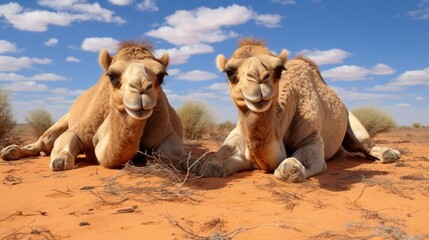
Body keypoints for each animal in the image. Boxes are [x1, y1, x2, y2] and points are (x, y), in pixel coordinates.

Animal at [1, 40, 192, 172]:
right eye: (112, 75)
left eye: (162, 75)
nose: (140, 89)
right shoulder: (81, 129)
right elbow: (62, 158)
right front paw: (60, 161)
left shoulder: (165, 133)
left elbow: (180, 155)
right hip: (61, 122)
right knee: (43, 142)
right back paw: (10, 151)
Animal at [199, 39, 400, 182]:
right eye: (229, 72)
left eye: (279, 69)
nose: (258, 80)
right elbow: (211, 165)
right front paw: (205, 165)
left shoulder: (312, 139)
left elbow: (289, 167)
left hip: (352, 122)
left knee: (364, 144)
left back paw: (390, 154)